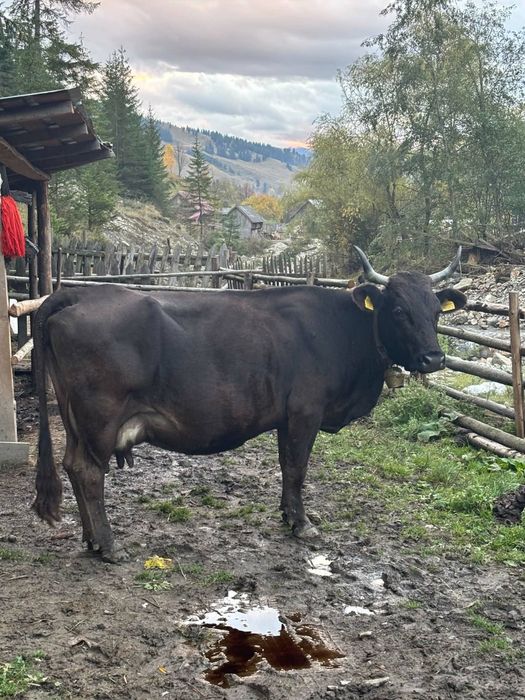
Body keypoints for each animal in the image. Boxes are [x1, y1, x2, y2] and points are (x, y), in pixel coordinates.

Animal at [32, 247, 466, 562]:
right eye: (399, 310)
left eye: (435, 312)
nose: (434, 358)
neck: (344, 329)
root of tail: (76, 292)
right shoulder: (305, 413)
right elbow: (297, 468)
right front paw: (302, 524)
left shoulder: (286, 418)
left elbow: (286, 467)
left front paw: (289, 516)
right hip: (100, 419)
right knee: (89, 473)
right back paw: (108, 544)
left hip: (76, 421)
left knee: (72, 466)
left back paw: (90, 539)